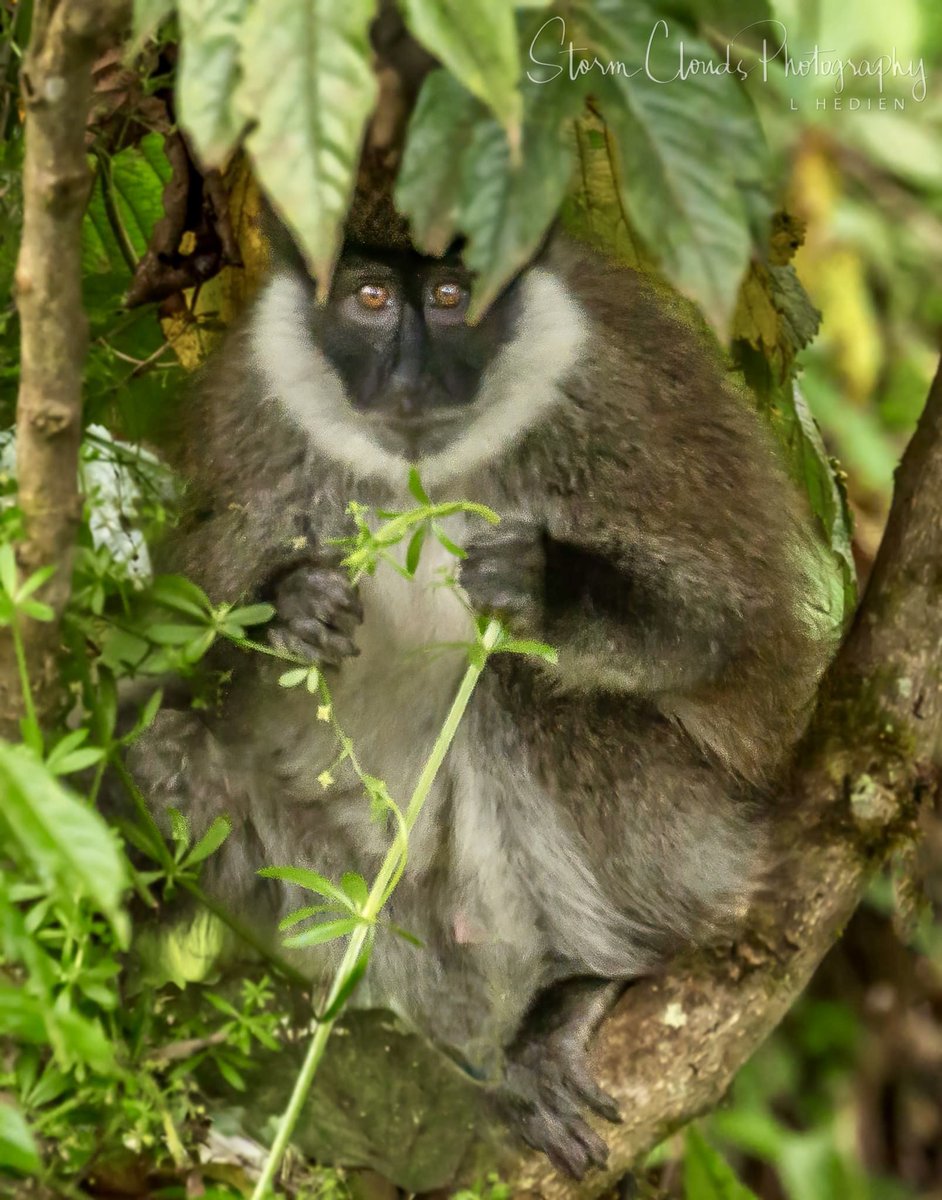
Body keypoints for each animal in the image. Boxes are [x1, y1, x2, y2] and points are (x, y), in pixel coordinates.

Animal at [125, 224, 830, 1178]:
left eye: (453, 295)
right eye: (371, 298)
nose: (411, 378)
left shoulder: (618, 400)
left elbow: (726, 630)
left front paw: (546, 590)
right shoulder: (250, 421)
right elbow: (158, 659)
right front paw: (289, 607)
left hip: (693, 832)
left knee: (512, 683)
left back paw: (589, 983)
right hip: (406, 933)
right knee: (160, 751)